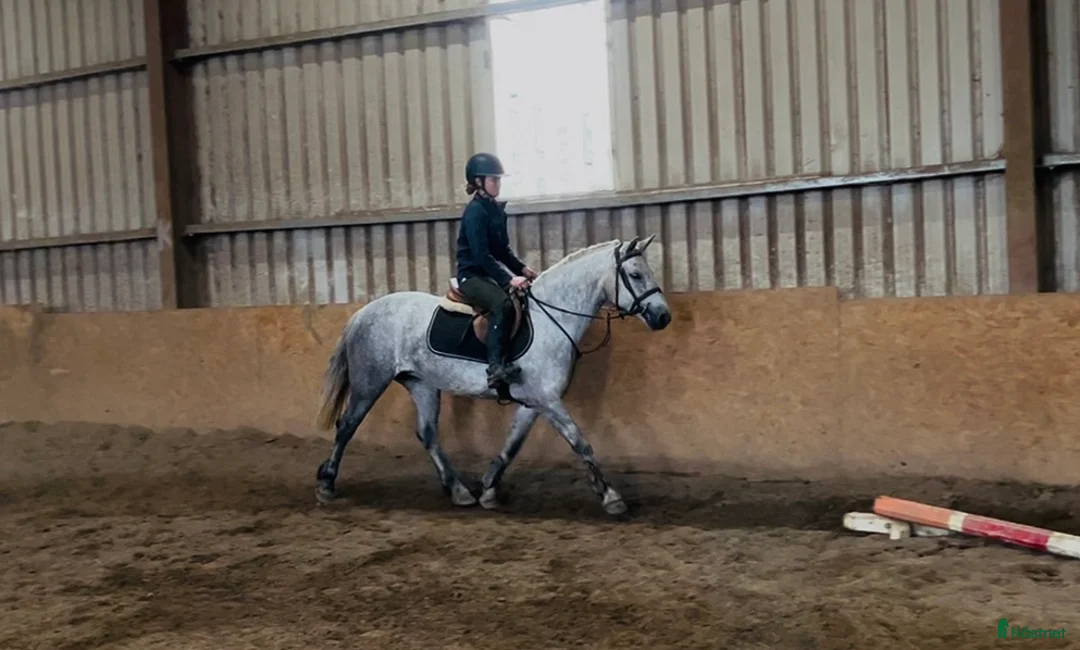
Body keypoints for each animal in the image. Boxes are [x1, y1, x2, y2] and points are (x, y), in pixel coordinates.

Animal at [312, 235, 672, 516]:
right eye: (635, 274)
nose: (663, 316)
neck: (551, 318)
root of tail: (363, 312)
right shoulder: (547, 400)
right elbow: (580, 442)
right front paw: (611, 497)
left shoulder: (534, 401)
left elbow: (512, 444)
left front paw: (488, 489)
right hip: (370, 382)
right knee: (347, 426)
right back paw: (327, 484)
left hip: (422, 384)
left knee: (427, 433)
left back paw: (459, 491)